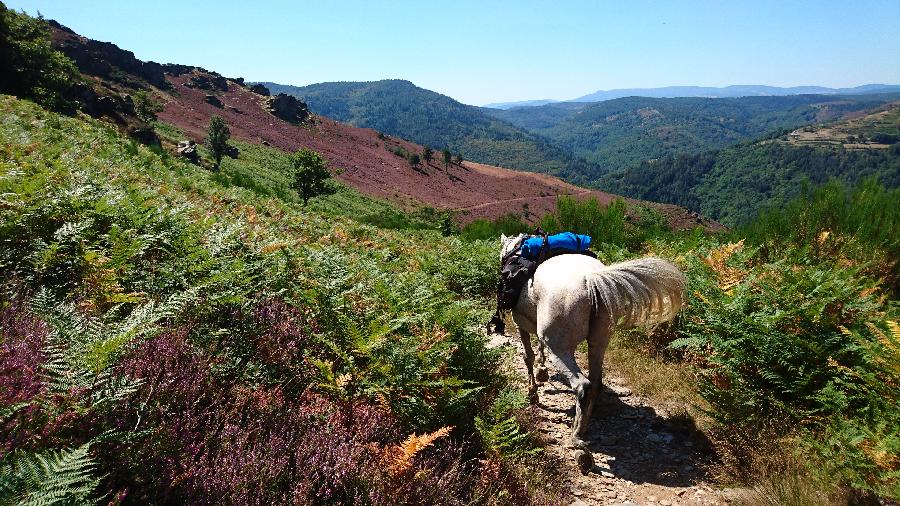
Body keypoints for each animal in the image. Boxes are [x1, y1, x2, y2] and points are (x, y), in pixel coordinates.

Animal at [500, 235, 684, 472]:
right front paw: (542, 372)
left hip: (559, 349)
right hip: (599, 342)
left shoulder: (520, 324)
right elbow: (538, 352)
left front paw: (533, 392)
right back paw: (583, 428)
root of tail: (590, 279)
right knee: (595, 381)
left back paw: (579, 444)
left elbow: (528, 357)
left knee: (582, 385)